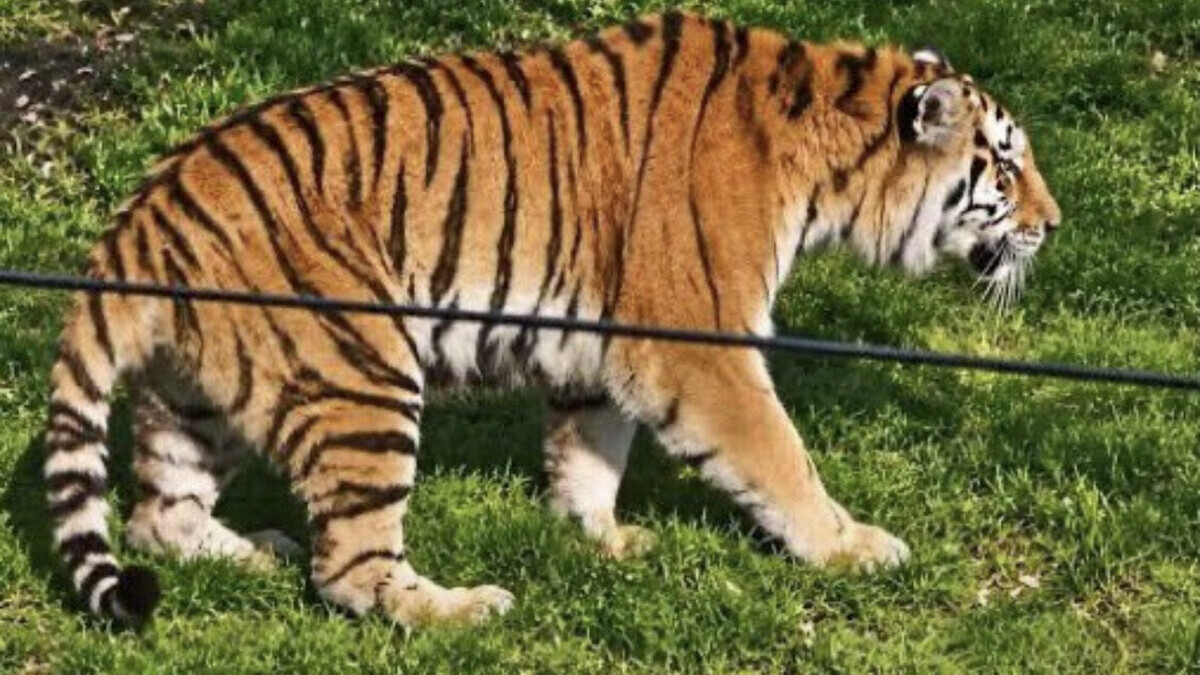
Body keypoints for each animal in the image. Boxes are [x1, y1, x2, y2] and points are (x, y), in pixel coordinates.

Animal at [40, 10, 1061, 626]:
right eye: (1005, 166)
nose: (1053, 225)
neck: (825, 160)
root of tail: (138, 221)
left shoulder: (604, 340)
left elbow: (589, 449)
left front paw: (601, 536)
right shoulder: (702, 343)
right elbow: (780, 457)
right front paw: (849, 545)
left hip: (199, 392)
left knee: (157, 516)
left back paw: (250, 555)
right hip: (358, 373)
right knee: (349, 569)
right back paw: (460, 609)